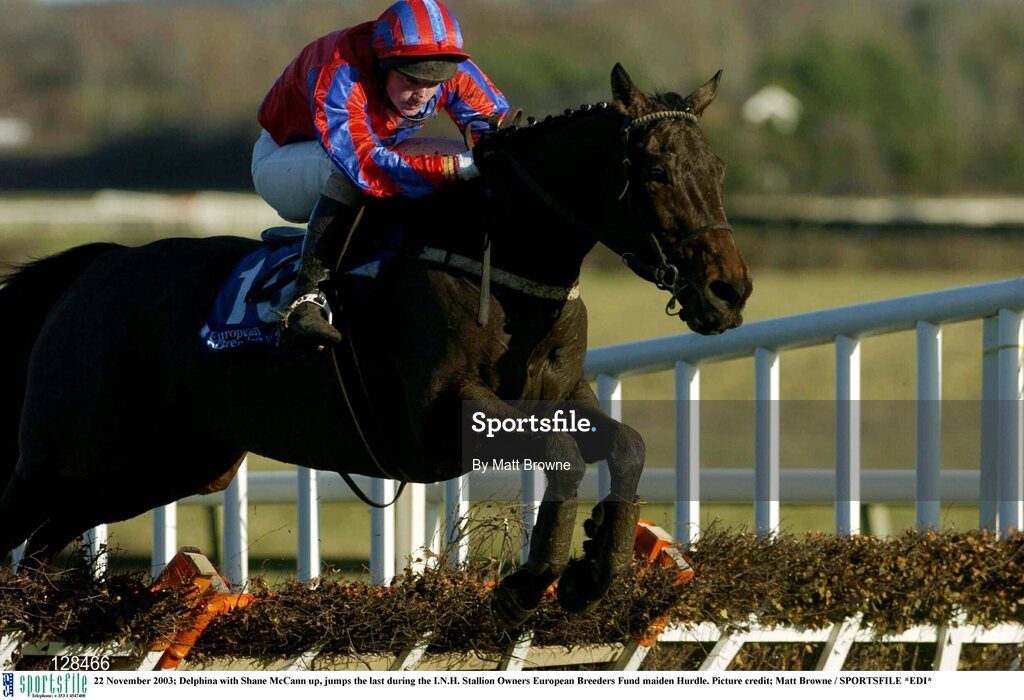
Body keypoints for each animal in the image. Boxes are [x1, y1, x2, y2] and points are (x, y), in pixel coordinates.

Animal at [0, 64, 751, 628]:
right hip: (60, 455)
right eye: (655, 171)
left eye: (717, 167)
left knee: (43, 544)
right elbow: (563, 456)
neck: (500, 259)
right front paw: (530, 582)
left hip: (160, 467)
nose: (729, 290)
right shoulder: (440, 415)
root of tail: (97, 267)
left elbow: (627, 446)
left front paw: (594, 570)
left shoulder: (562, 392)